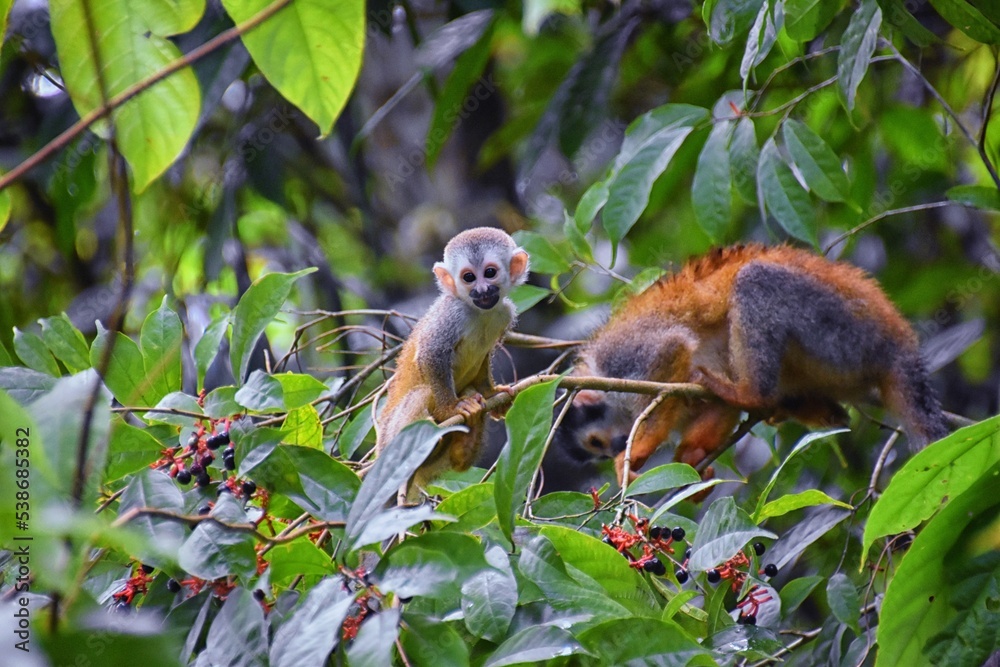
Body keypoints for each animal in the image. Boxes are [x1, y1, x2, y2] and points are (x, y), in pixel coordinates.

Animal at [375, 227, 530, 498]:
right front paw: (451, 409)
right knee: (423, 392)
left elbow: (485, 358)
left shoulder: (505, 313)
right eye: (468, 277)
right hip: (389, 438)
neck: (478, 311)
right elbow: (431, 353)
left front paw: (491, 394)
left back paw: (464, 446)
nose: (481, 290)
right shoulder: (451, 313)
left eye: (490, 273)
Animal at [556, 244, 949, 487]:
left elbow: (672, 348)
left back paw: (753, 395)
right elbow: (708, 405)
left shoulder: (623, 359)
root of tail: (896, 340)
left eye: (596, 442)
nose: (613, 449)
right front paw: (692, 457)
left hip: (842, 331)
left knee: (756, 280)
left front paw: (635, 453)